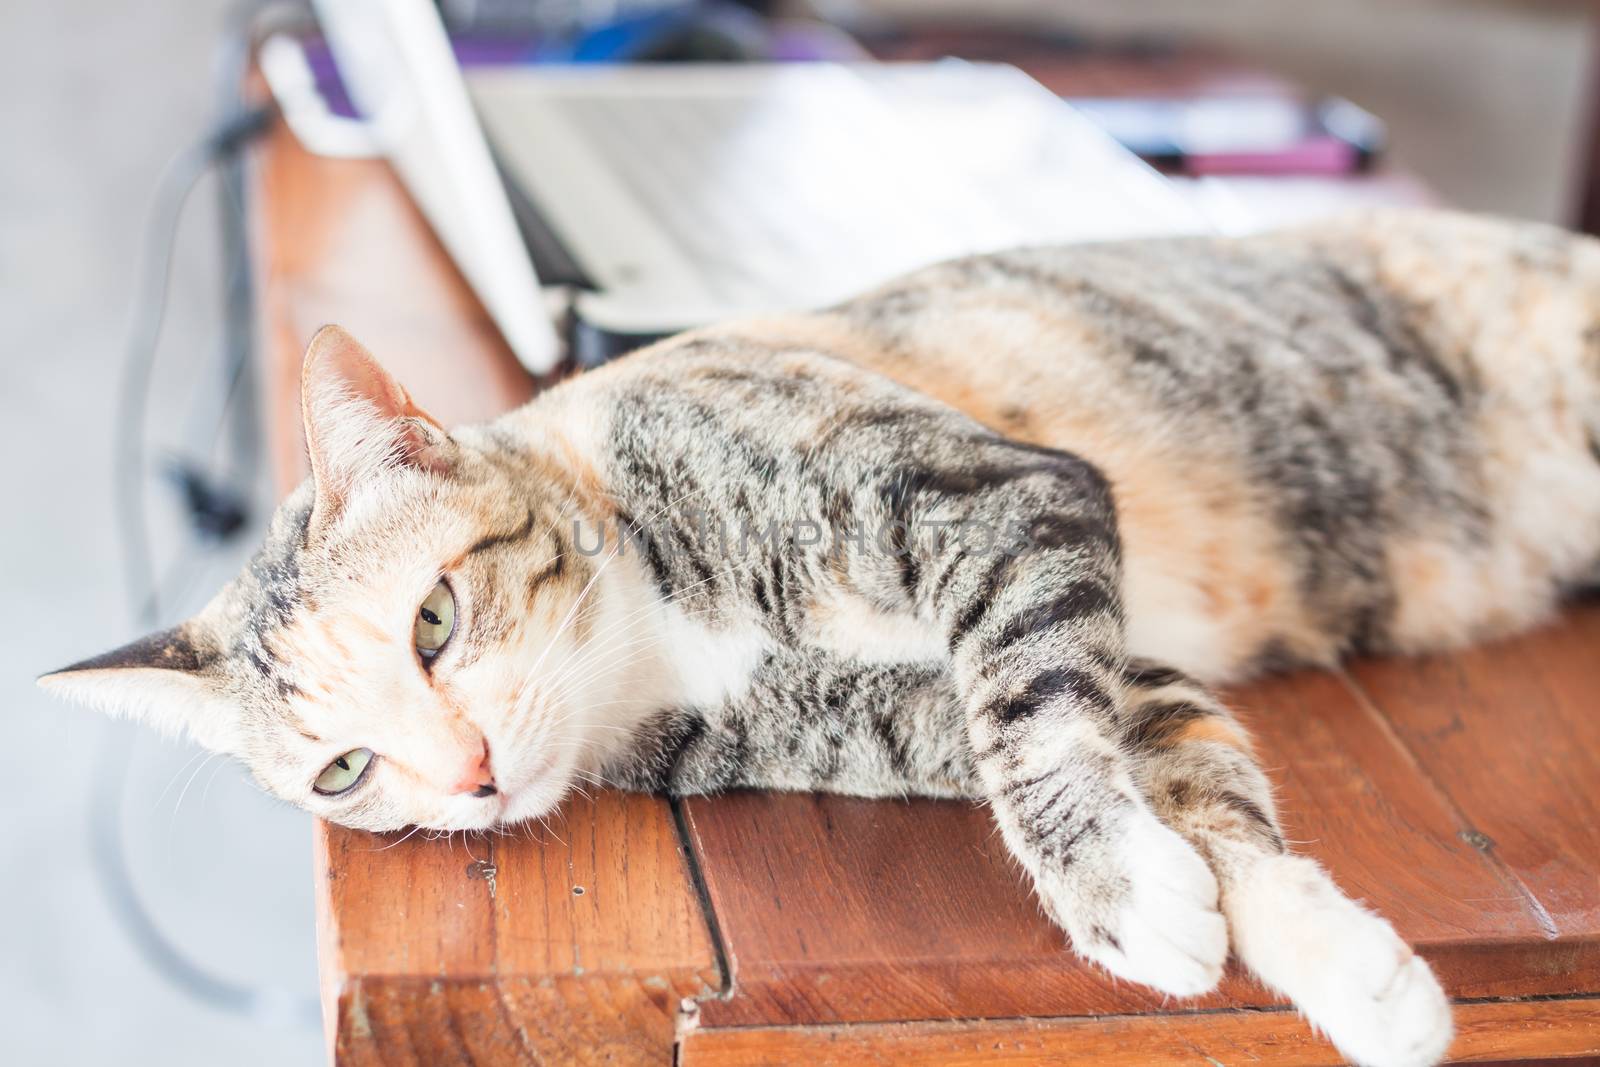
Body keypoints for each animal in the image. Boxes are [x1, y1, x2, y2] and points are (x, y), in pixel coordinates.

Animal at [43, 211, 1600, 1067]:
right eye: (345, 772)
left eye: (433, 617)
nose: (475, 775)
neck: (656, 629)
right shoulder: (1034, 688)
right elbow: (1199, 805)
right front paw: (1334, 967)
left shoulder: (1004, 497)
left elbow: (1037, 723)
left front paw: (1118, 894)